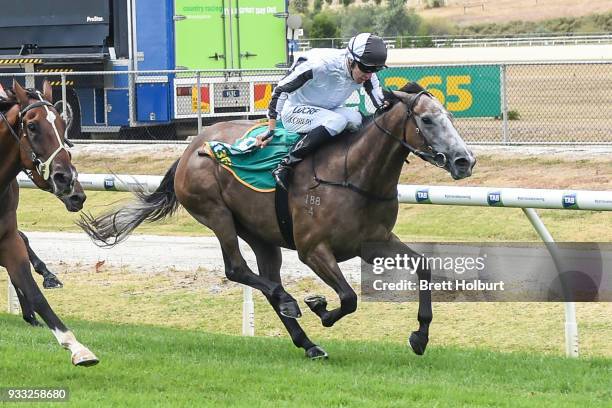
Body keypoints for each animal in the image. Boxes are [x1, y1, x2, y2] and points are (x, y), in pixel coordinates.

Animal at [0, 79, 97, 366]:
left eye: (64, 125)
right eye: (32, 126)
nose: (67, 180)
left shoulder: (7, 239)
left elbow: (33, 290)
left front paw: (77, 347)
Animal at [79, 83, 476, 356]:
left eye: (450, 118)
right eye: (427, 120)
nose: (464, 161)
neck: (354, 173)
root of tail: (192, 147)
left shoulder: (373, 241)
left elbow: (423, 266)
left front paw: (420, 336)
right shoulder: (313, 250)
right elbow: (348, 297)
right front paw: (321, 309)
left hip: (262, 235)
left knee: (265, 278)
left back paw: (306, 341)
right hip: (217, 214)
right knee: (238, 270)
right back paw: (291, 303)